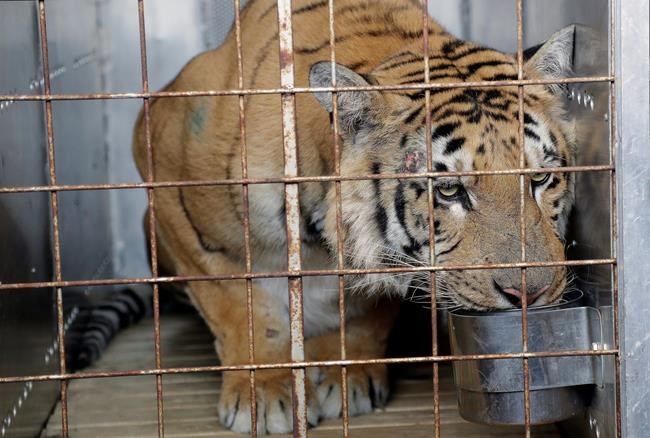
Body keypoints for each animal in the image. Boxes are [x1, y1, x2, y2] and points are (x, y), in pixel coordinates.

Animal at [132, 0, 577, 434]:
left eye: (539, 178)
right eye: (449, 191)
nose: (528, 294)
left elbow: (363, 311)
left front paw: (347, 378)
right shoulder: (170, 187)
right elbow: (241, 307)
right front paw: (263, 396)